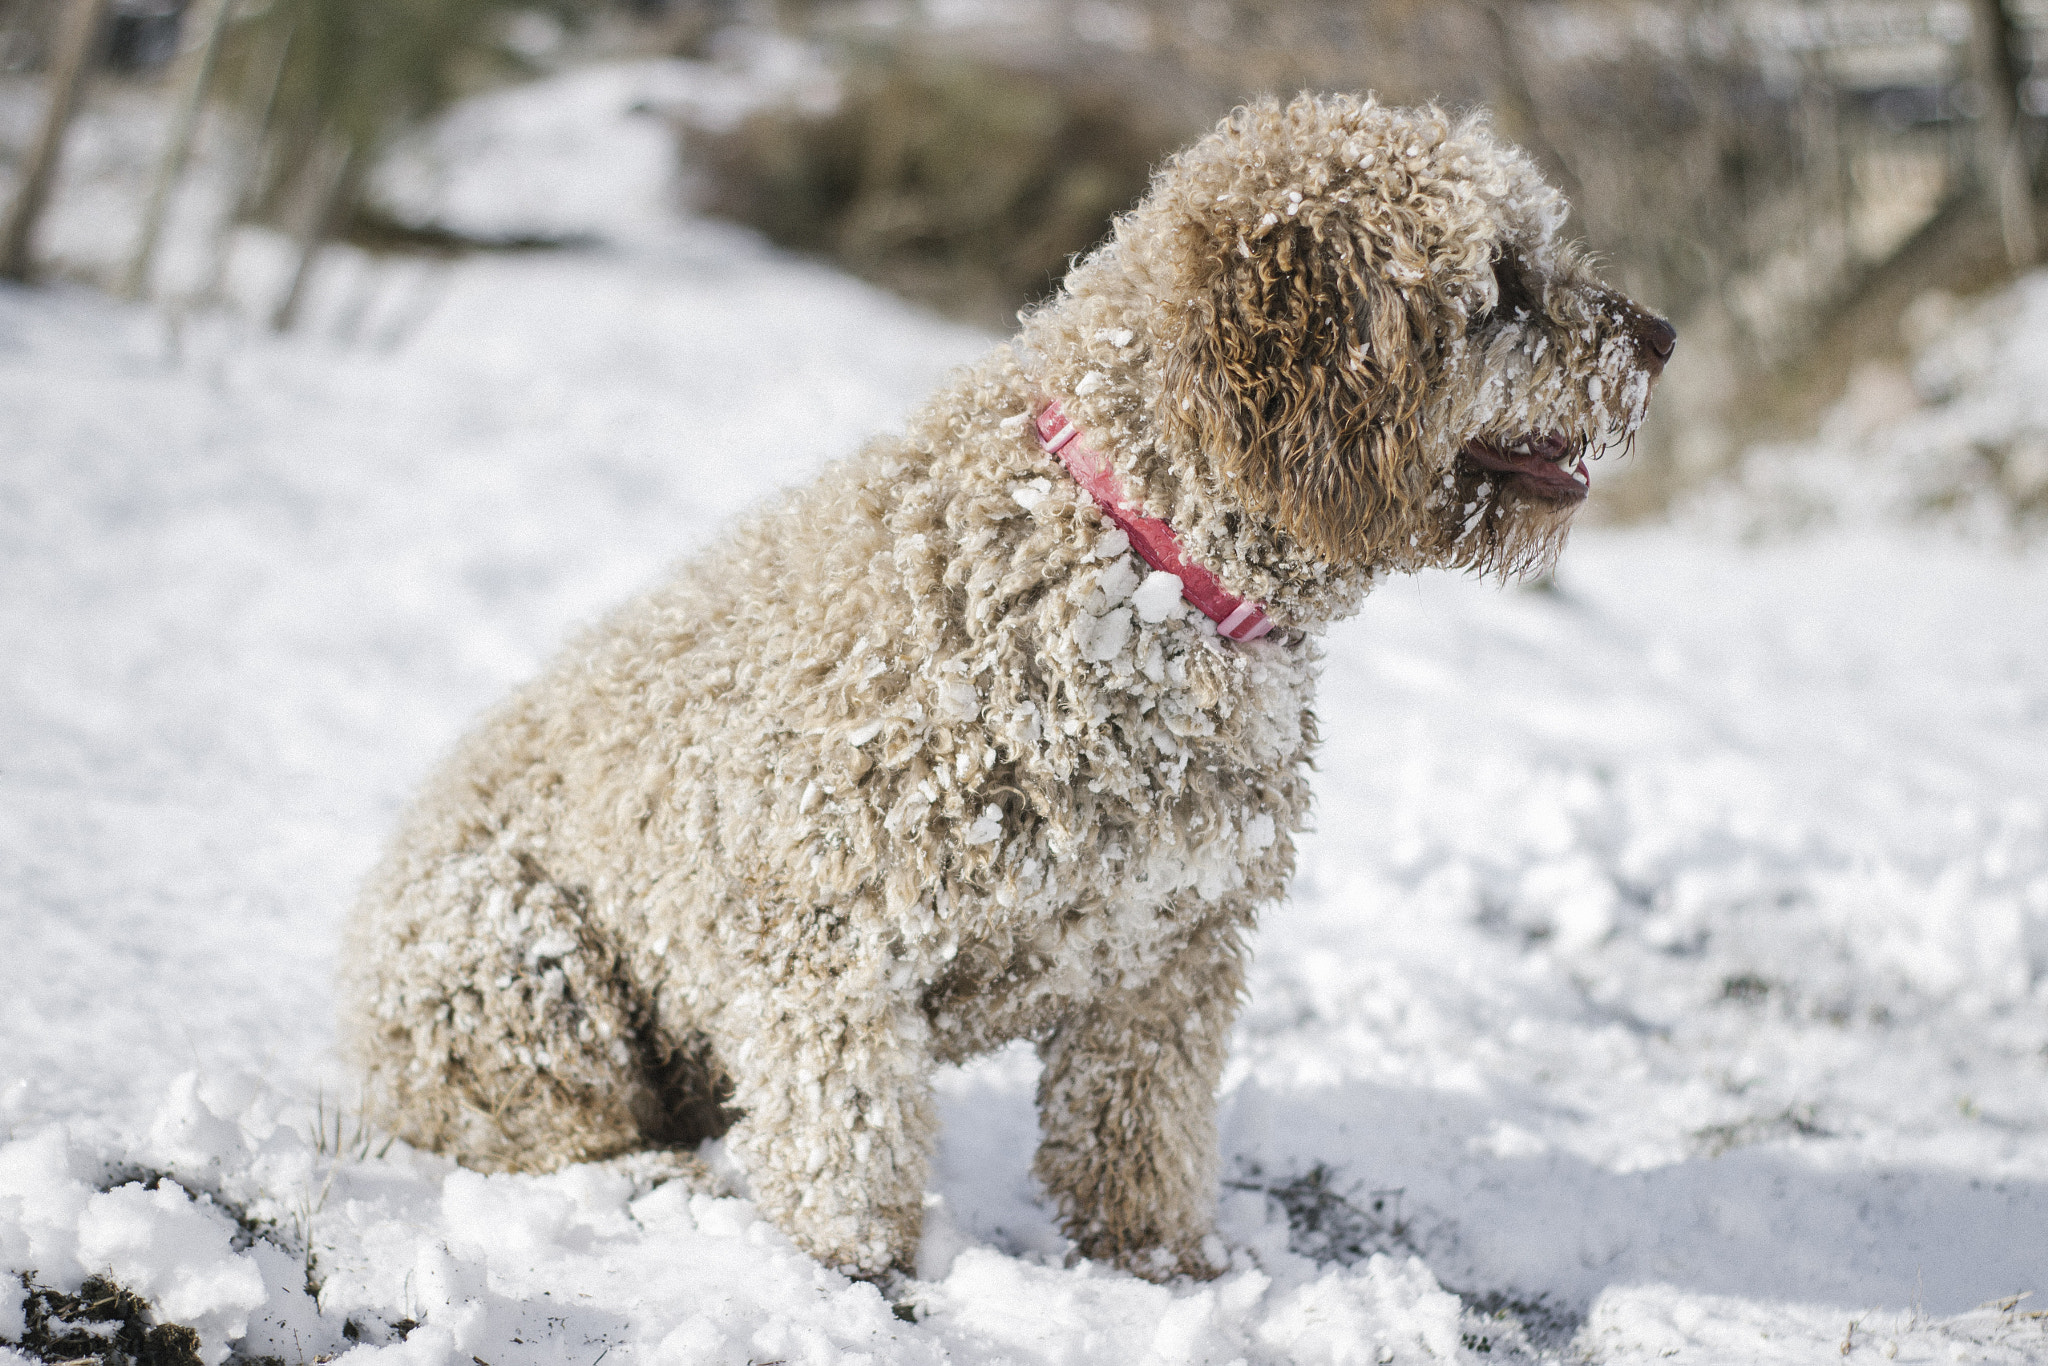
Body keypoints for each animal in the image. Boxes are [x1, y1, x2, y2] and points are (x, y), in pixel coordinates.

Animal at [344, 90, 1671, 1286]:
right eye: (1501, 285)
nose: (1658, 335)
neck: (1140, 559)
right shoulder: (828, 950)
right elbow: (848, 1156)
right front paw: (855, 1279)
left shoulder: (1167, 956)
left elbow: (1136, 1141)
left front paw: (1162, 1271)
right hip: (517, 961)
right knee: (546, 1125)